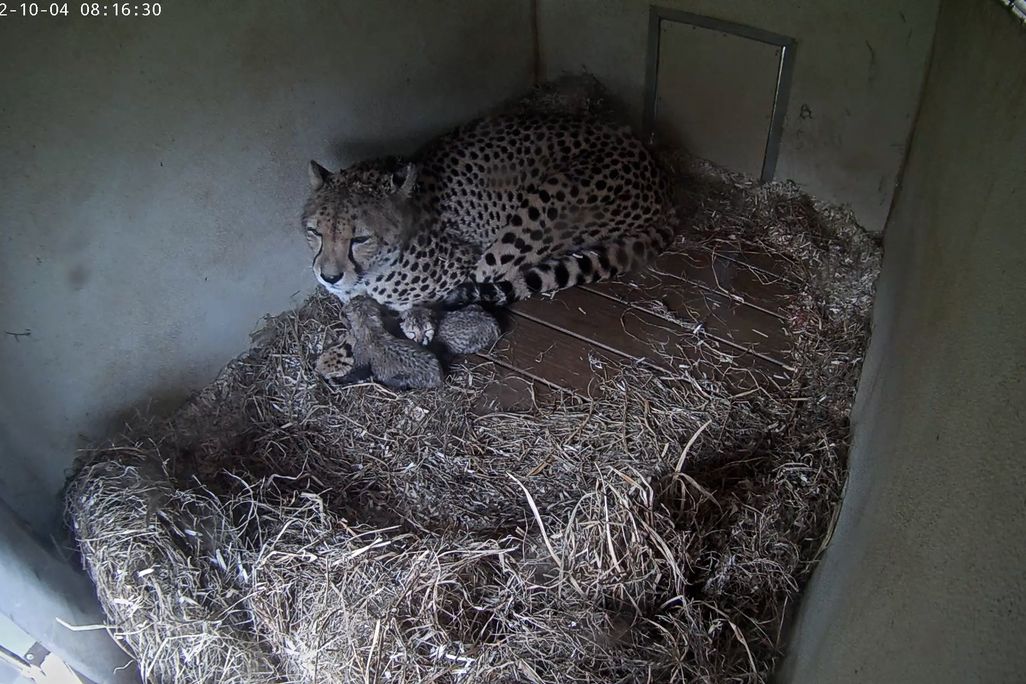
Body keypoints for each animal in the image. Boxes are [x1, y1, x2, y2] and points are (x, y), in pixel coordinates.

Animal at [302, 83, 678, 382]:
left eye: (360, 238)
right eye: (314, 232)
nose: (329, 277)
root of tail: (656, 171)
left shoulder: (461, 264)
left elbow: (376, 319)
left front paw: (351, 347)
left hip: (541, 209)